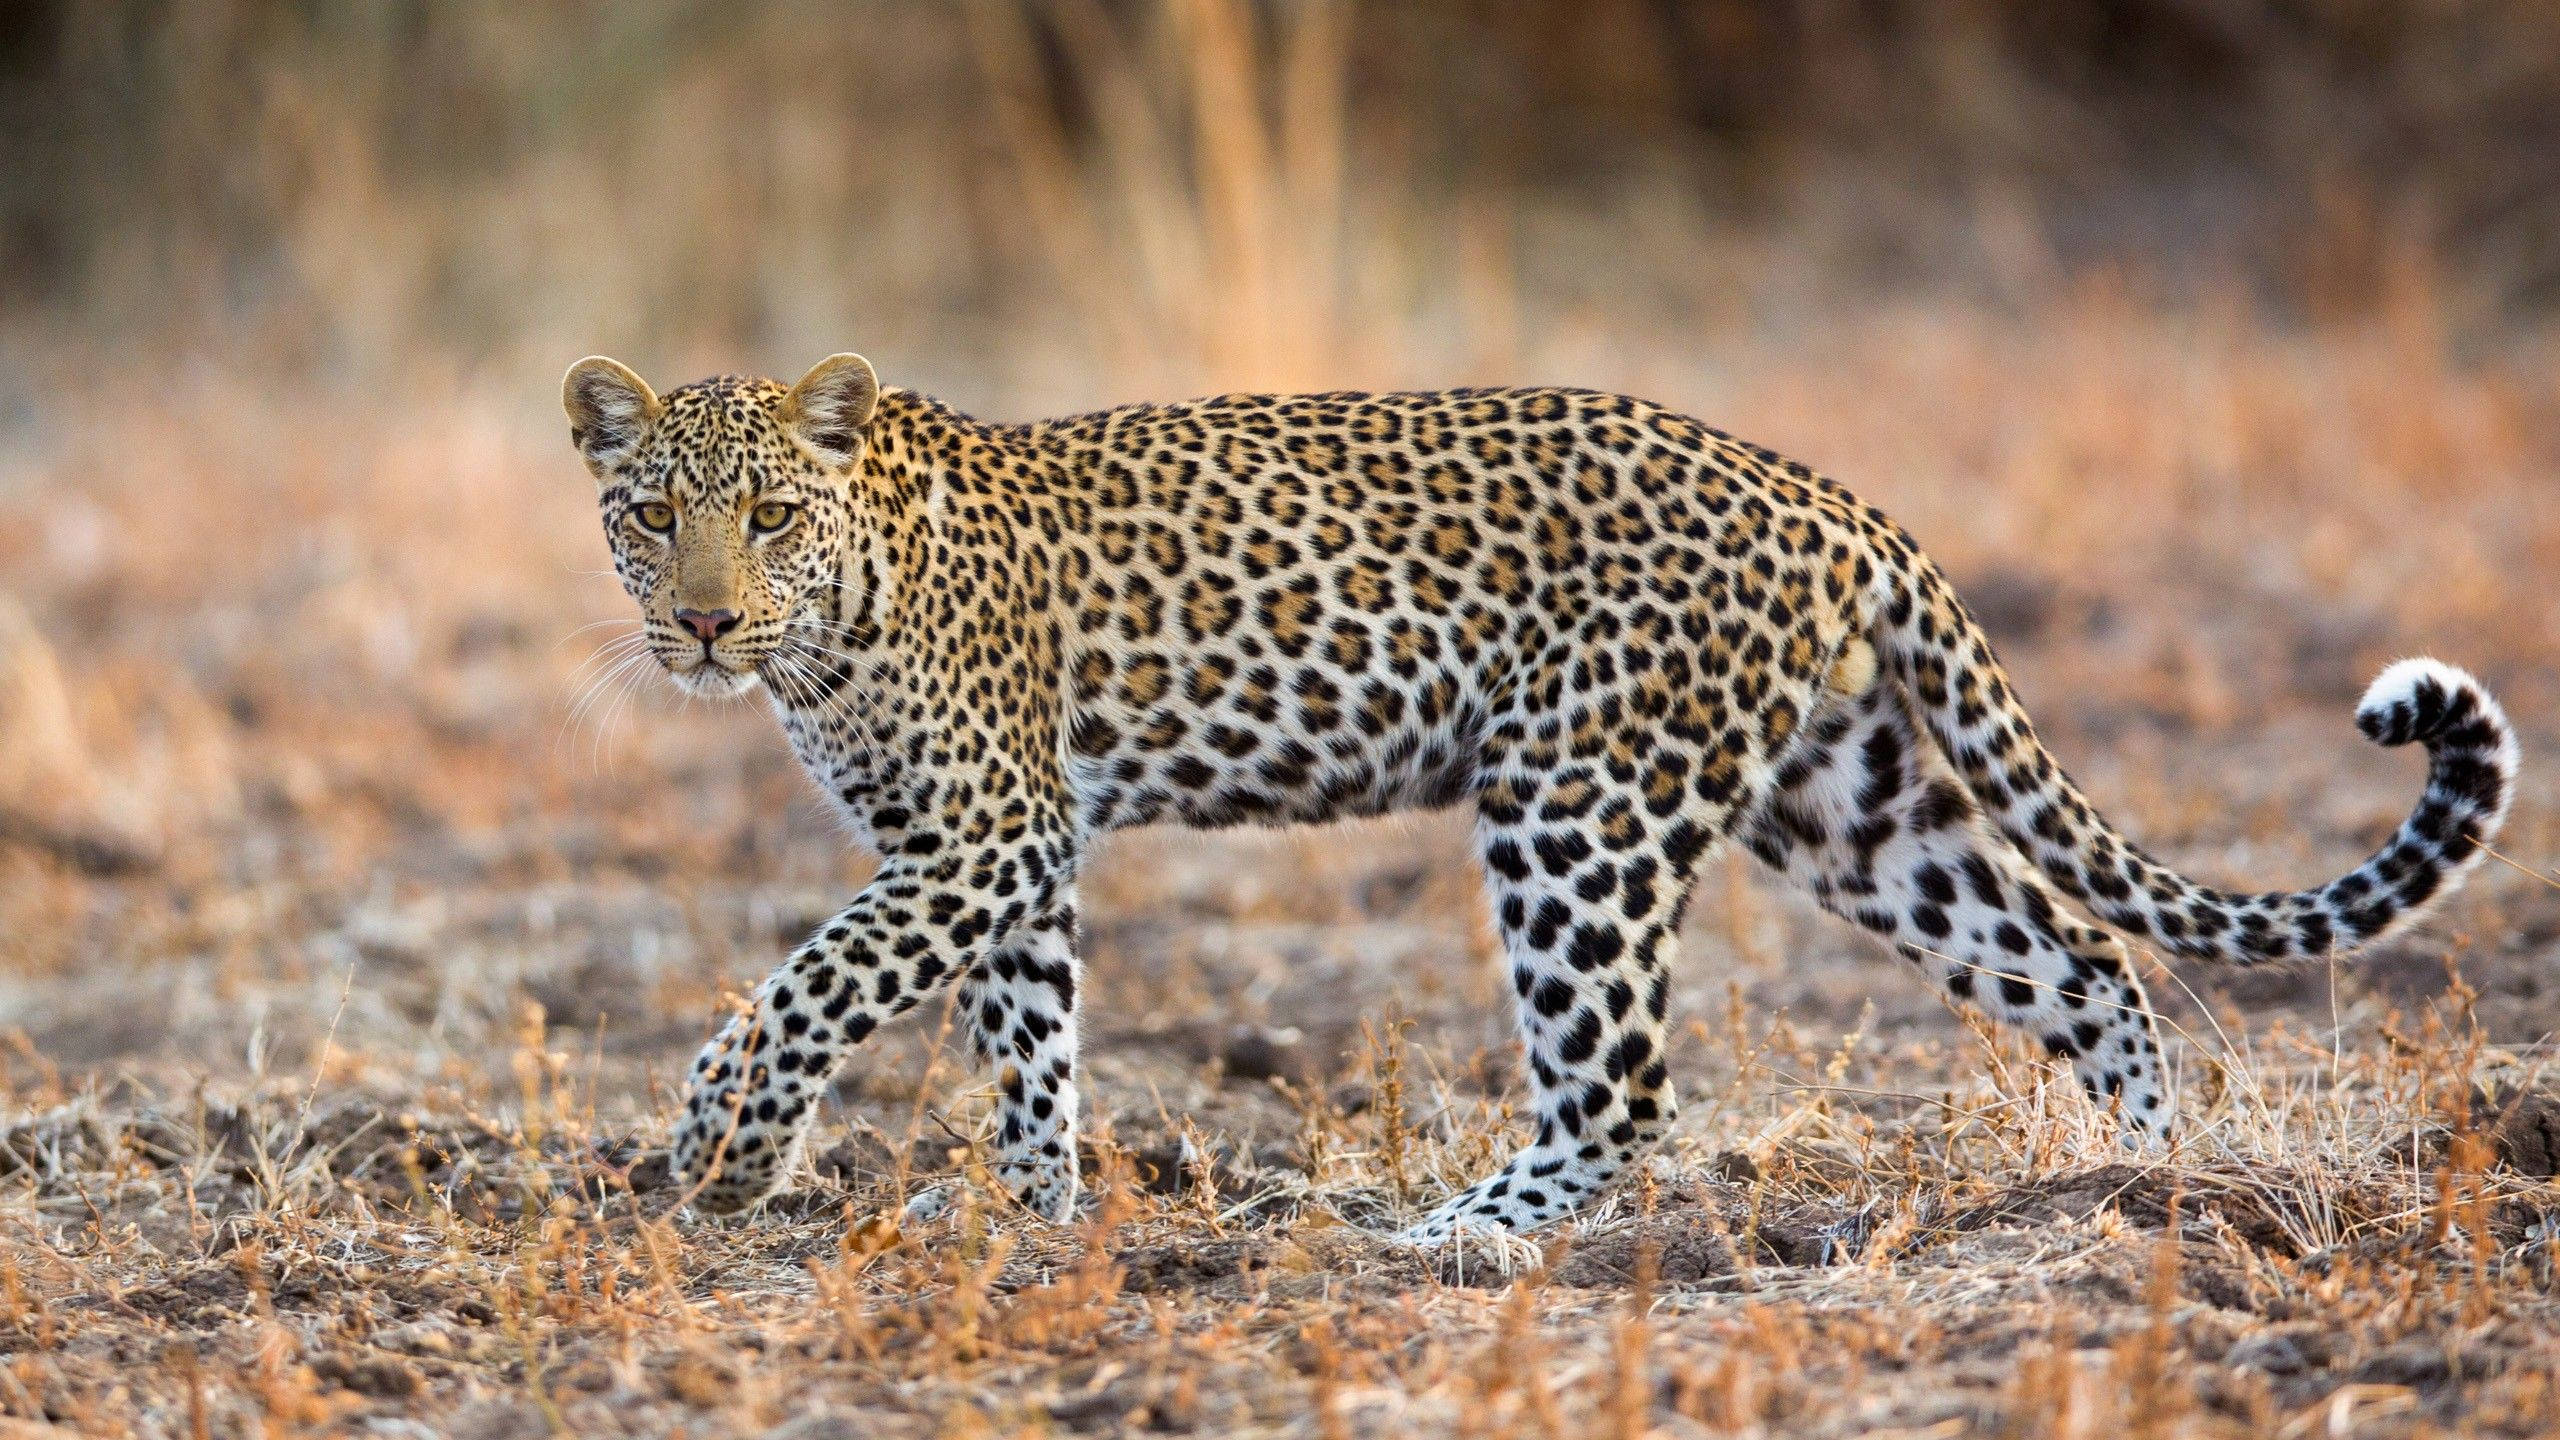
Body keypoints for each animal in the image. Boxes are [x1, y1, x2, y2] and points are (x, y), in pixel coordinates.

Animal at [562, 351, 2517, 1242]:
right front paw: (1034, 1213)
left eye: (770, 517)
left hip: (1577, 807)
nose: (705, 623)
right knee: (2092, 969)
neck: (842, 618)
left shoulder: (987, 832)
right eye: (652, 516)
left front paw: (723, 1147)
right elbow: (1019, 1040)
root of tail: (1827, 496)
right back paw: (2144, 1200)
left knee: (1624, 1090)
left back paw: (1441, 1243)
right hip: (1851, 807)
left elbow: (811, 985)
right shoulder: (996, 858)